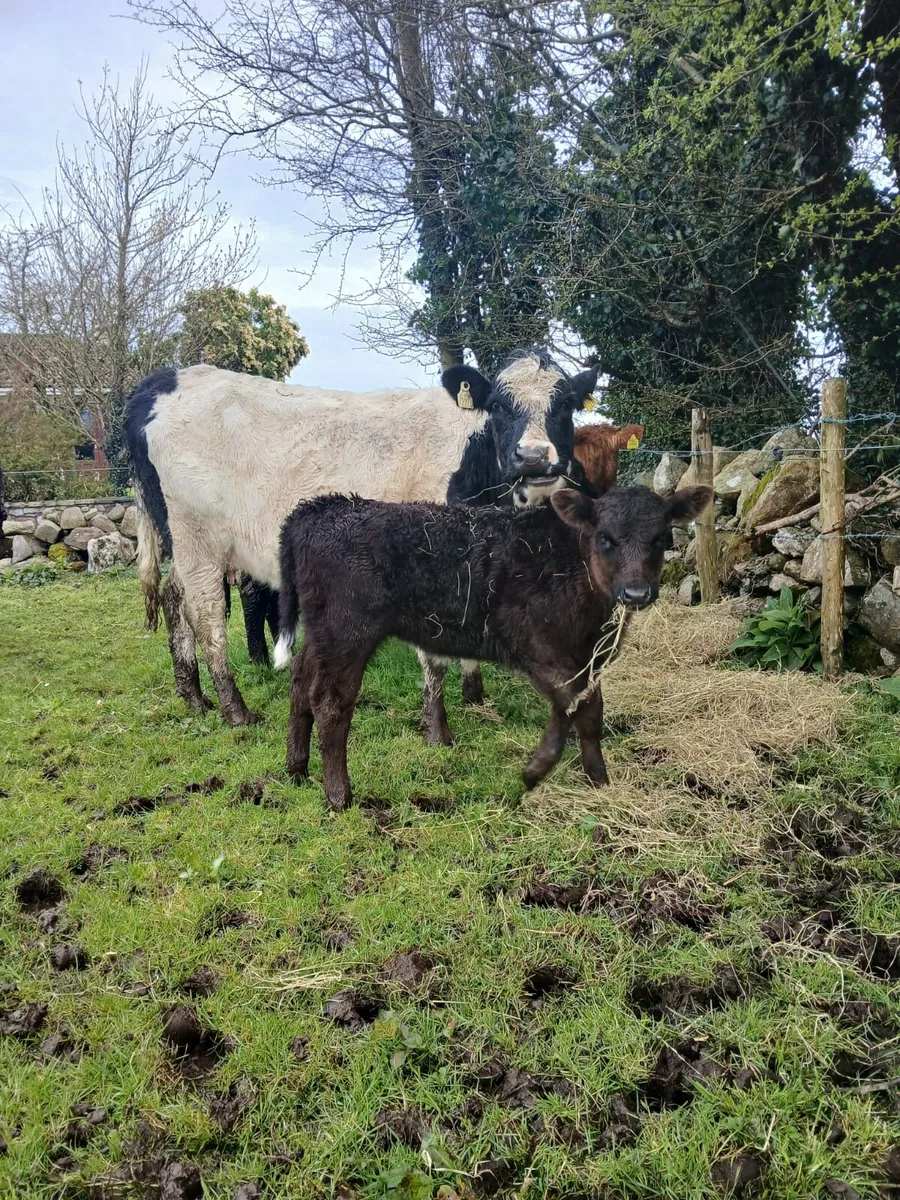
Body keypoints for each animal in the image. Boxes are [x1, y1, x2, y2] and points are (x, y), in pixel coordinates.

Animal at [125, 352, 598, 724]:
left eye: (566, 404)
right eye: (499, 404)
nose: (533, 457)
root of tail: (165, 379)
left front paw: (475, 695)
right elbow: (434, 651)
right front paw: (436, 722)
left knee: (173, 598)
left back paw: (194, 697)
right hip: (196, 537)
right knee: (205, 616)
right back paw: (234, 709)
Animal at [279, 483, 712, 810]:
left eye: (661, 538)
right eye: (605, 537)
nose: (637, 592)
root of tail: (321, 506)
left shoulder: (588, 655)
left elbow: (591, 712)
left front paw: (599, 781)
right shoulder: (533, 644)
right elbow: (569, 703)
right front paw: (535, 771)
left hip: (321, 631)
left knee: (300, 679)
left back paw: (296, 770)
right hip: (348, 631)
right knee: (331, 703)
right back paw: (339, 796)